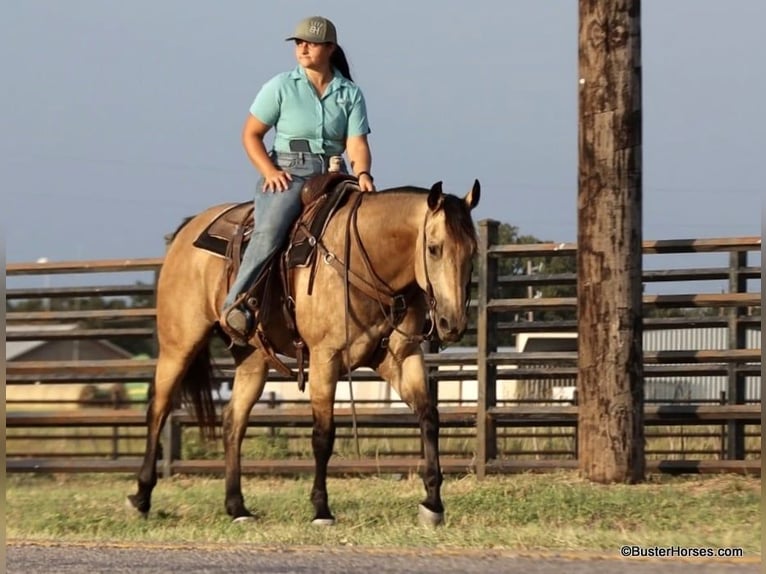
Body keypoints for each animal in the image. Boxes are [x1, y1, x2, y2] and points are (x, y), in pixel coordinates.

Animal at [129, 176, 484, 528]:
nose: (451, 323)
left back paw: (237, 507)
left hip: (252, 359)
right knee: (158, 410)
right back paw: (142, 498)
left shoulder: (402, 357)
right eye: (434, 248)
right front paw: (321, 509)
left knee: (234, 422)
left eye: (472, 252)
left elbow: (429, 418)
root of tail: (187, 230)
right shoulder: (325, 358)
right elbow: (323, 435)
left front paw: (433, 504)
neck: (364, 261)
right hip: (179, 345)